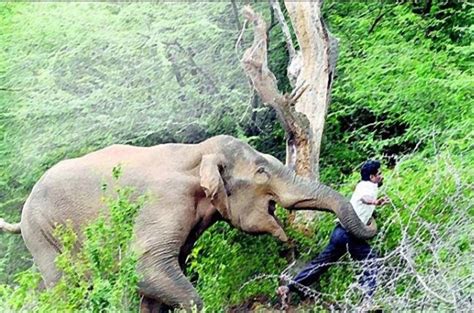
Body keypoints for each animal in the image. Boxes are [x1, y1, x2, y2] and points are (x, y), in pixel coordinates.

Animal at [0, 134, 378, 310]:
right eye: (261, 172)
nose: (374, 223)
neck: (197, 152)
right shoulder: (164, 204)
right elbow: (145, 267)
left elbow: (158, 280)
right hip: (43, 234)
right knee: (66, 288)